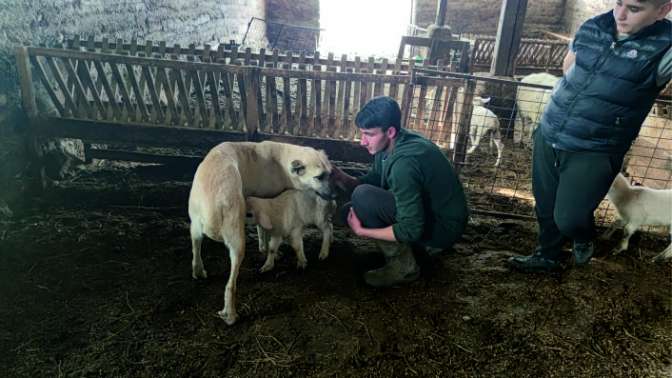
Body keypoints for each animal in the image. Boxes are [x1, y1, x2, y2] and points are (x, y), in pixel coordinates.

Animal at [186, 140, 334, 324]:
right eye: (319, 177)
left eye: (330, 174)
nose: (333, 195)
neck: (282, 162)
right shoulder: (265, 197)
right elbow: (265, 228)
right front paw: (268, 250)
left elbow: (262, 228)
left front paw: (266, 249)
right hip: (236, 236)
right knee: (231, 285)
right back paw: (231, 315)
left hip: (195, 227)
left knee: (196, 249)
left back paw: (199, 272)